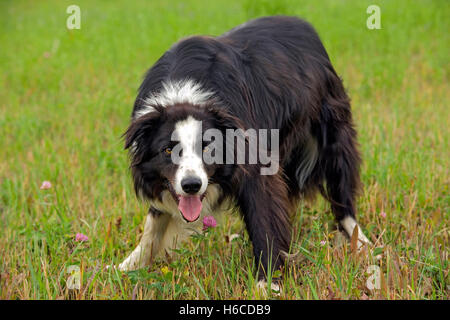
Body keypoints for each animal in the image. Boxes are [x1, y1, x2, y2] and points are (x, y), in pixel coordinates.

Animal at [118, 15, 370, 284]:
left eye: (208, 148)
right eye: (167, 150)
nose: (192, 185)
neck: (184, 94)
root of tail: (303, 24)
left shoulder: (253, 156)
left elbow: (263, 210)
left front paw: (267, 282)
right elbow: (153, 221)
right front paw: (126, 266)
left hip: (331, 124)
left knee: (341, 184)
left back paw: (359, 241)